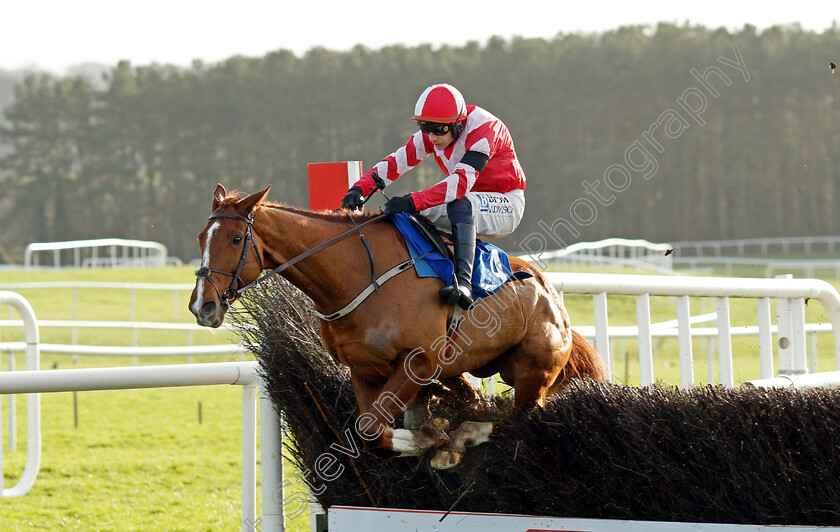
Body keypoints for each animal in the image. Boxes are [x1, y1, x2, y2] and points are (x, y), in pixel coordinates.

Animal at [189, 185, 608, 468]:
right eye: (201, 237)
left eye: (236, 238)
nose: (202, 306)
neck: (358, 274)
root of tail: (550, 292)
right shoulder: (364, 369)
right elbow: (370, 430)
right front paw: (430, 432)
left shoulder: (417, 362)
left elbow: (372, 429)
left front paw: (433, 435)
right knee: (475, 397)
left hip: (533, 371)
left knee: (518, 419)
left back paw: (464, 434)